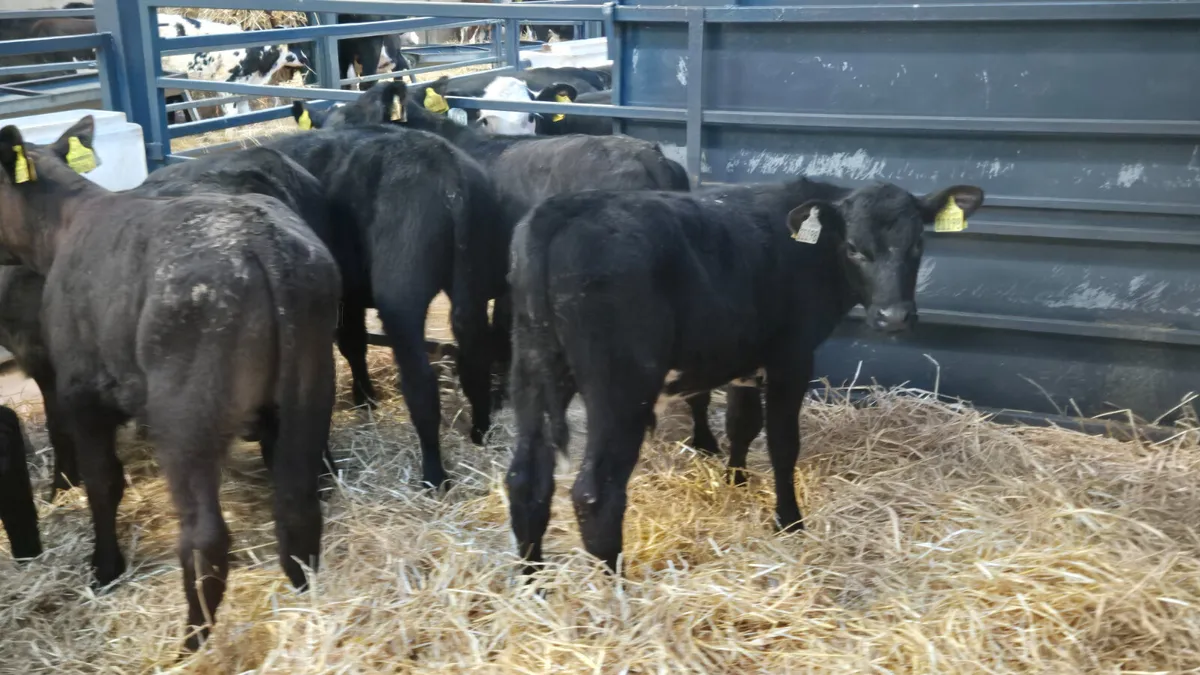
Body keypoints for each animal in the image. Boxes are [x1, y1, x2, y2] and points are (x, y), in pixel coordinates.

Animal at [271, 101, 509, 490]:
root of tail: (447, 170)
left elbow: (350, 342)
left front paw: (364, 396)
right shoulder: (350, 291)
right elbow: (353, 341)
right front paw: (365, 396)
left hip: (401, 297)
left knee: (421, 384)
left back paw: (434, 475)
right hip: (472, 278)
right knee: (476, 354)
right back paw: (480, 432)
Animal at [504, 178, 984, 574]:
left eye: (917, 243)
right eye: (852, 247)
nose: (894, 317)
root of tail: (561, 209)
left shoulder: (745, 357)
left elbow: (742, 424)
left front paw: (734, 481)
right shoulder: (792, 356)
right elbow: (782, 444)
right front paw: (789, 521)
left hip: (531, 369)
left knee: (526, 480)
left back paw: (533, 581)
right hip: (620, 385)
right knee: (596, 492)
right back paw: (616, 597)